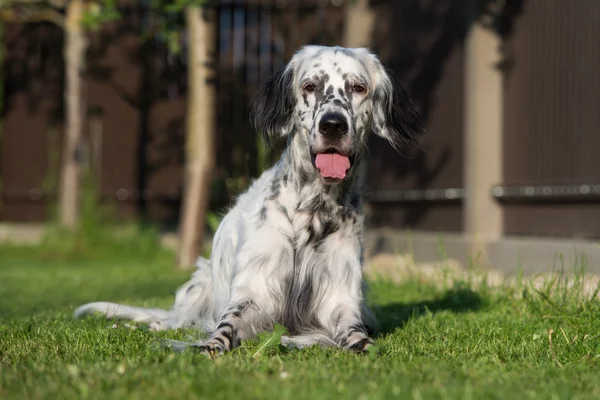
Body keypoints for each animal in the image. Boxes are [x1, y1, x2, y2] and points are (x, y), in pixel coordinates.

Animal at [74, 45, 422, 354]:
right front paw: (209, 346)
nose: (333, 124)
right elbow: (225, 325)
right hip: (198, 284)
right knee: (178, 318)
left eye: (358, 87)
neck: (313, 210)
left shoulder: (340, 298)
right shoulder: (253, 293)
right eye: (310, 86)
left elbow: (355, 331)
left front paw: (365, 346)